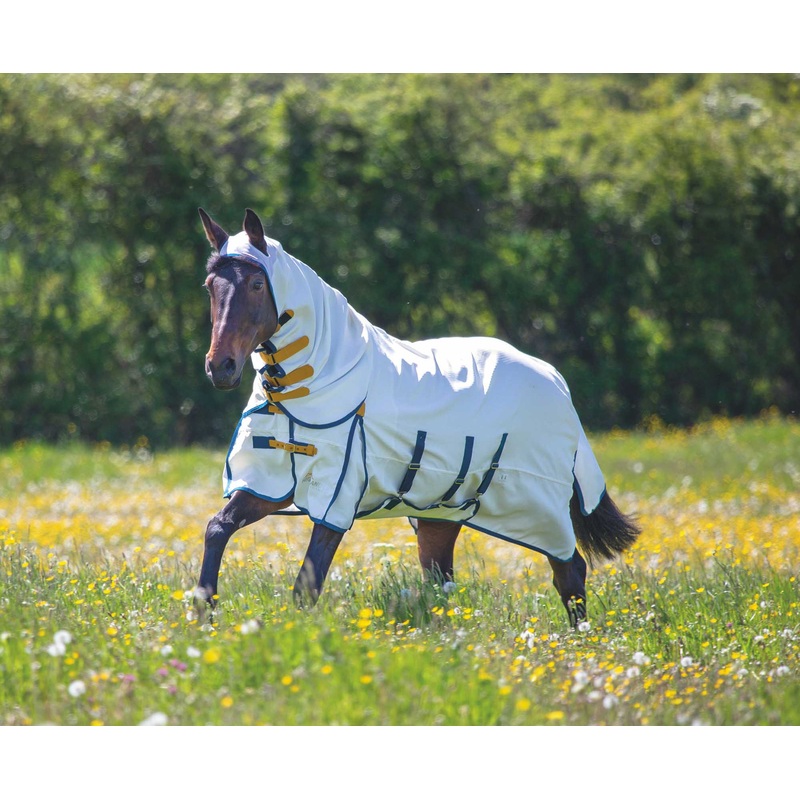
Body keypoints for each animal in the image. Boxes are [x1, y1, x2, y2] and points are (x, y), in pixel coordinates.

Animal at [194, 207, 641, 626]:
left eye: (257, 285)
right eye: (210, 286)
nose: (220, 368)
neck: (314, 380)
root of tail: (554, 379)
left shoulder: (335, 494)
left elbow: (308, 584)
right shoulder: (268, 484)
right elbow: (217, 528)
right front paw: (203, 614)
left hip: (538, 508)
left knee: (570, 570)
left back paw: (579, 640)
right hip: (441, 516)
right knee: (442, 580)